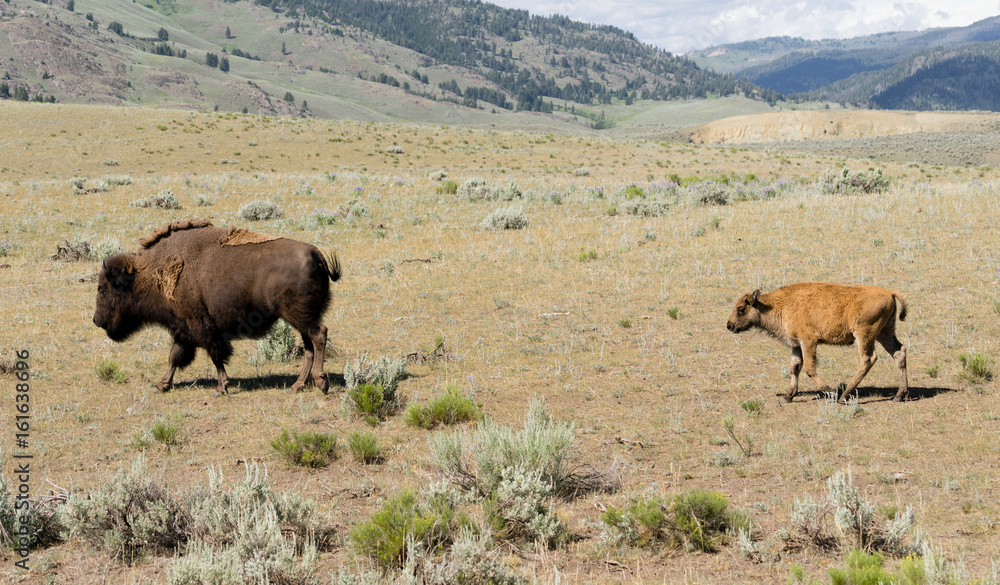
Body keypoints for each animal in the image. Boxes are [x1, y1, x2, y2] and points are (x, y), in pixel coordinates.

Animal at [94, 220, 344, 396]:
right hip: (299, 319)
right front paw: (161, 385)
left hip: (298, 316)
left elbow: (215, 354)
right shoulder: (183, 329)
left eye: (103, 290)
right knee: (309, 346)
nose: (97, 320)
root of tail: (315, 253)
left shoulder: (200, 325)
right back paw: (297, 385)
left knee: (319, 335)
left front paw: (221, 387)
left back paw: (321, 382)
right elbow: (175, 357)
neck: (150, 272)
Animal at [728, 282, 908, 402]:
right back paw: (900, 395)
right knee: (899, 353)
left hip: (864, 335)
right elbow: (794, 368)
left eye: (741, 309)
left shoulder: (808, 341)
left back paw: (843, 396)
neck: (778, 304)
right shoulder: (796, 344)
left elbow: (809, 368)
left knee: (868, 359)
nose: (729, 325)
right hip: (884, 333)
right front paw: (788, 396)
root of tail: (890, 292)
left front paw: (830, 391)